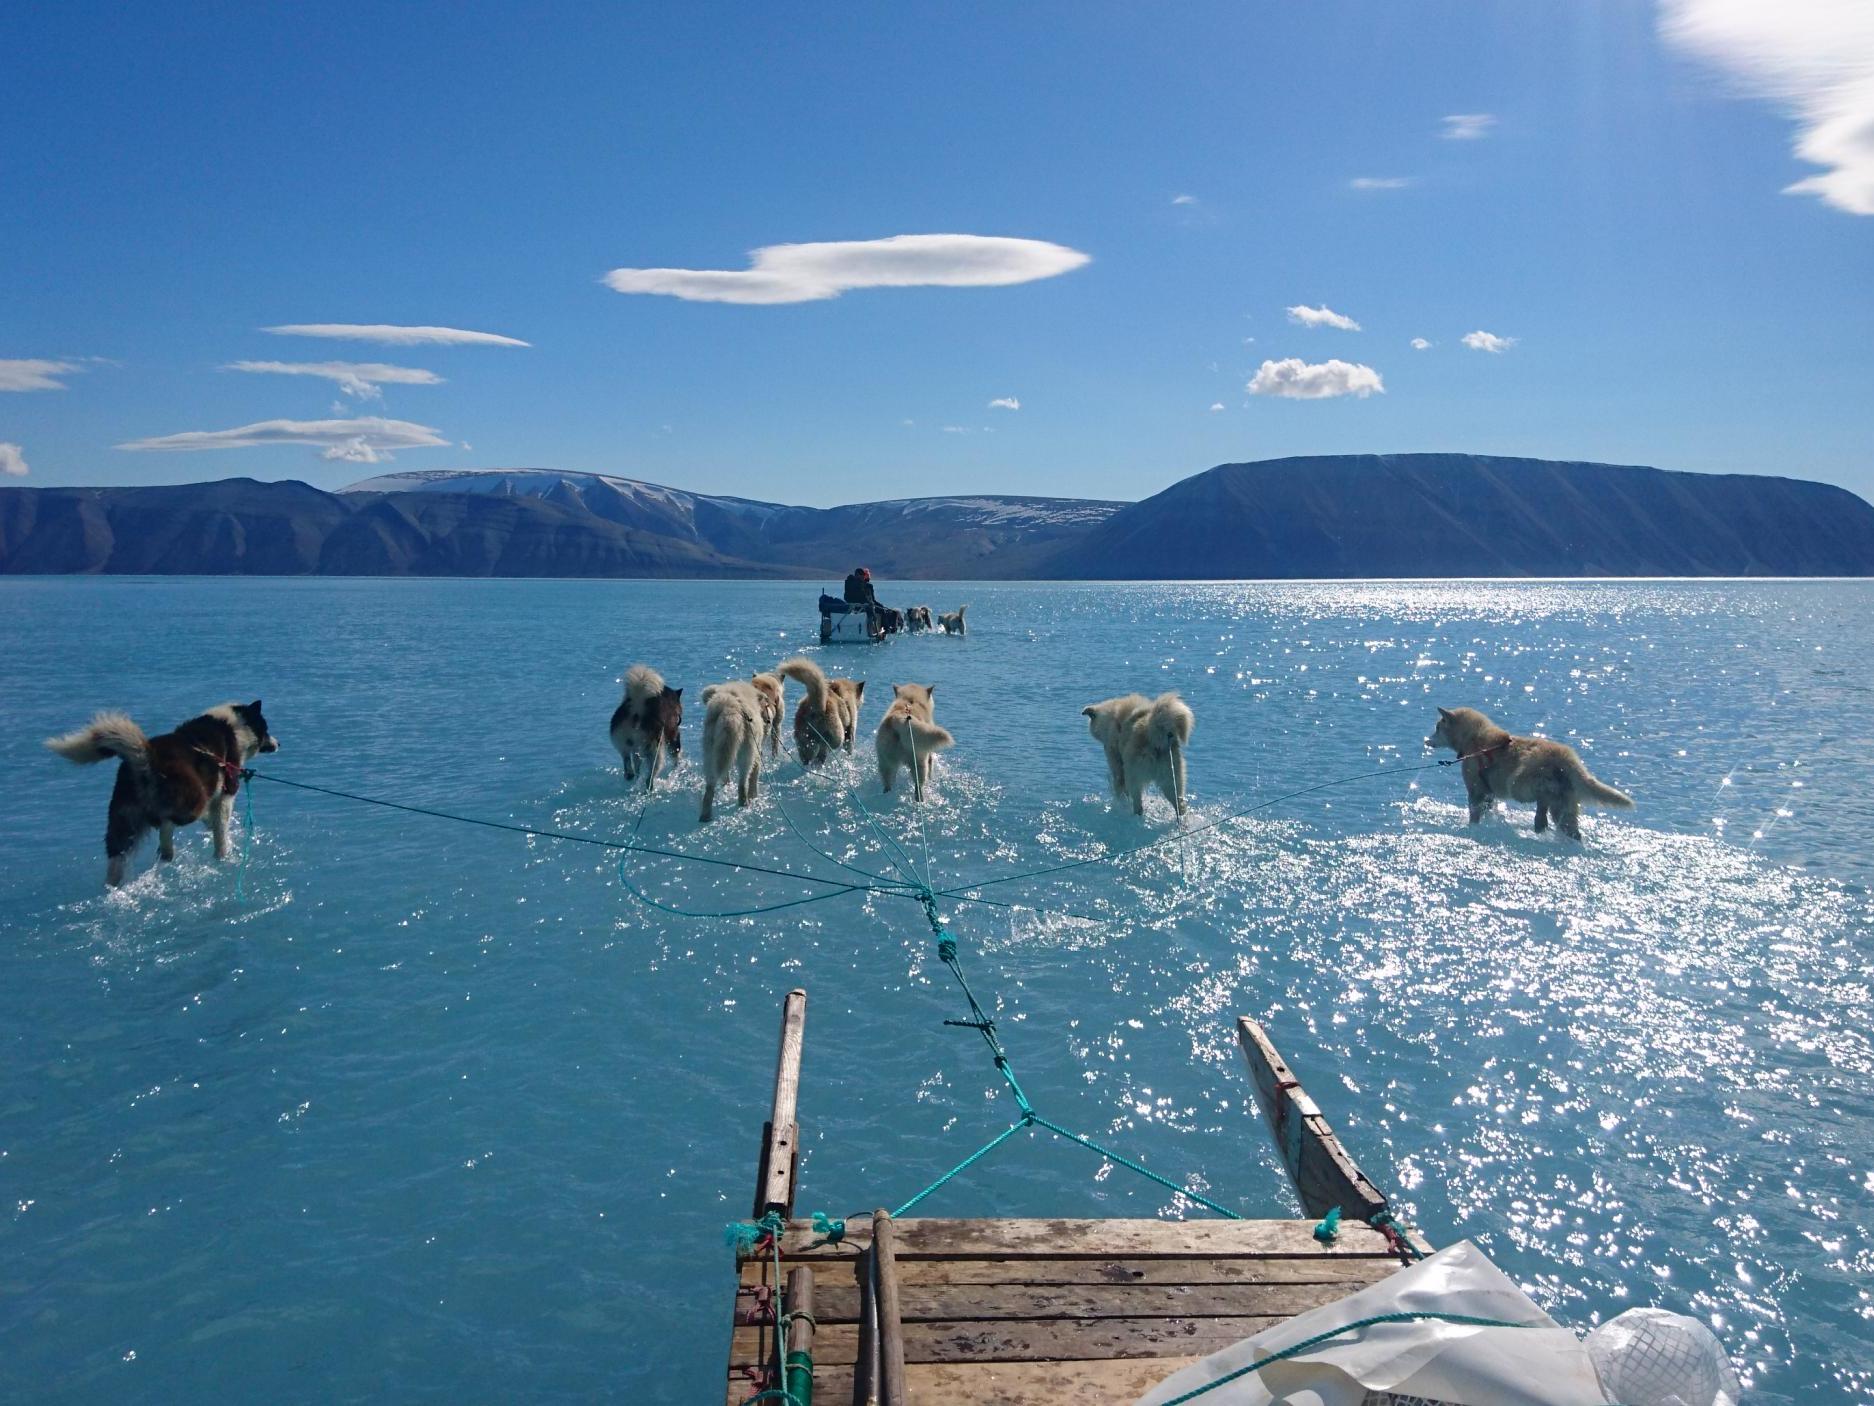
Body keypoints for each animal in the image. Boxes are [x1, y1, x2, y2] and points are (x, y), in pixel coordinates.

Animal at [47, 704, 279, 892]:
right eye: (266, 728)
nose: (278, 744)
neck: (233, 726)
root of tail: (146, 756)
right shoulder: (226, 794)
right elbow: (220, 831)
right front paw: (223, 854)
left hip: (122, 820)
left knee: (117, 855)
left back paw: (114, 884)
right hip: (191, 799)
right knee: (168, 821)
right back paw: (167, 850)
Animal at [1424, 708, 1634, 843]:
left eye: (1437, 727)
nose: (1426, 740)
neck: (1474, 739)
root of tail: (1567, 758)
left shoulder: (1476, 789)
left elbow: (1474, 813)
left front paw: (1472, 827)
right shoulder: (1488, 792)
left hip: (1520, 781)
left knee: (1541, 797)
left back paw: (1540, 820)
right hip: (1566, 802)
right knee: (1569, 826)